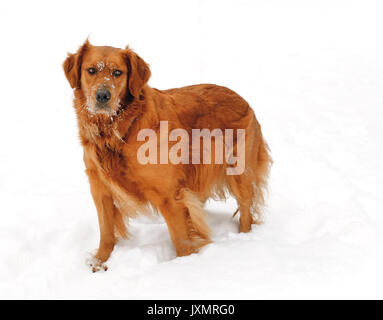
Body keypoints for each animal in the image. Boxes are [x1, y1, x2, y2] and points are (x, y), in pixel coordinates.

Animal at [63, 38, 272, 272]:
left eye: (118, 73)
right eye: (91, 70)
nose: (102, 96)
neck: (119, 130)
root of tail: (241, 98)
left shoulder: (169, 195)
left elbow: (180, 238)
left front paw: (183, 265)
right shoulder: (100, 189)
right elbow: (106, 231)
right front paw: (100, 262)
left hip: (239, 173)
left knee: (246, 212)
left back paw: (244, 240)